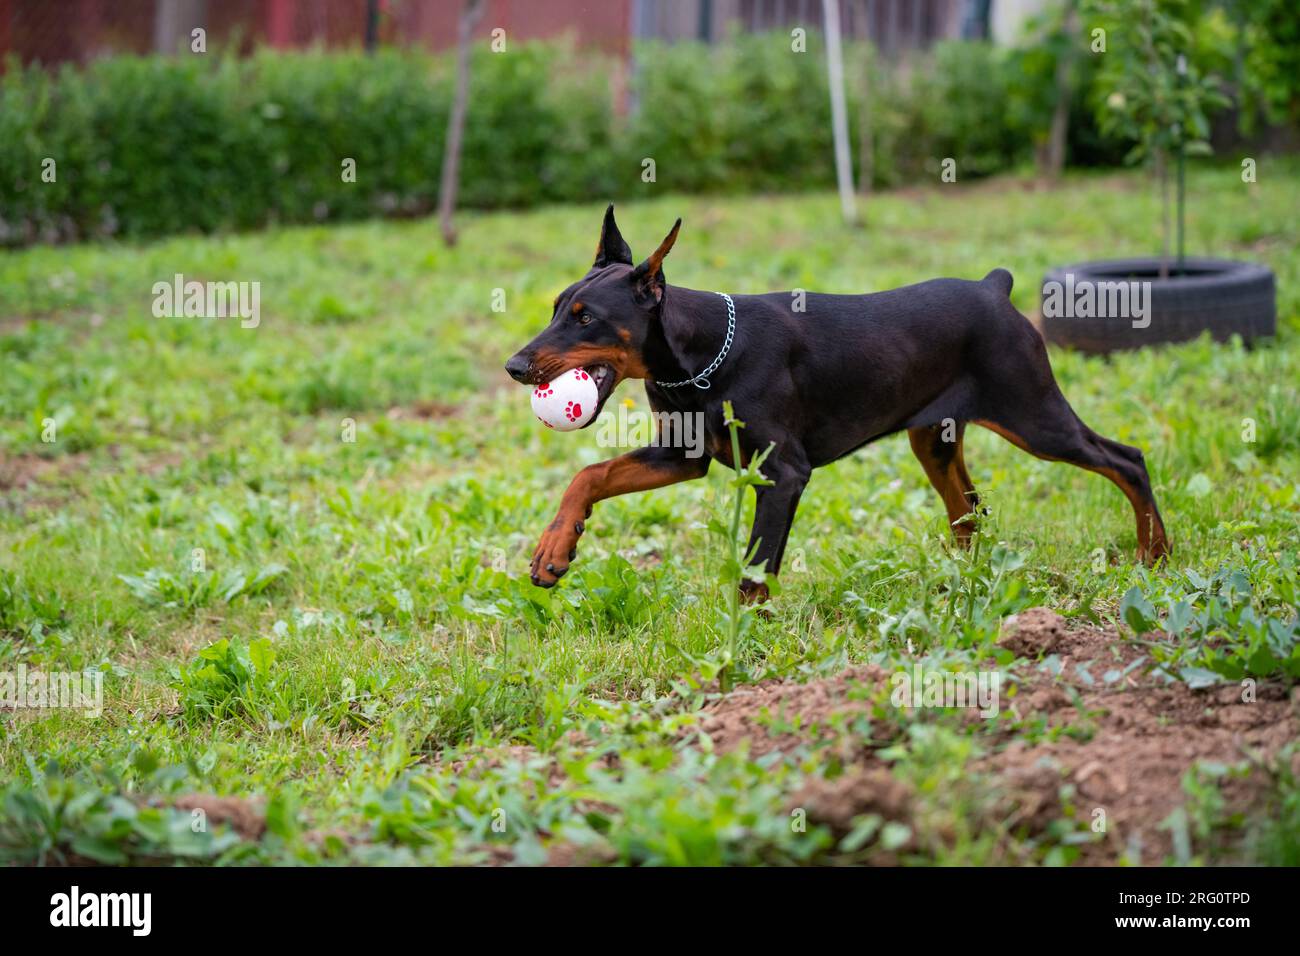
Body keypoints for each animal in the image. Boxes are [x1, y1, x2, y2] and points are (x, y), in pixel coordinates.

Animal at [501, 206, 1175, 600]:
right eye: (556, 307)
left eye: (586, 317)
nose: (515, 366)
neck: (700, 357)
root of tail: (995, 289)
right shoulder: (682, 457)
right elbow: (591, 474)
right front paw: (553, 552)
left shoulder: (784, 472)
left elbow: (755, 571)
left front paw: (740, 653)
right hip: (934, 436)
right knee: (969, 509)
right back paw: (961, 583)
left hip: (1033, 415)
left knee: (1126, 459)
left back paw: (1156, 557)